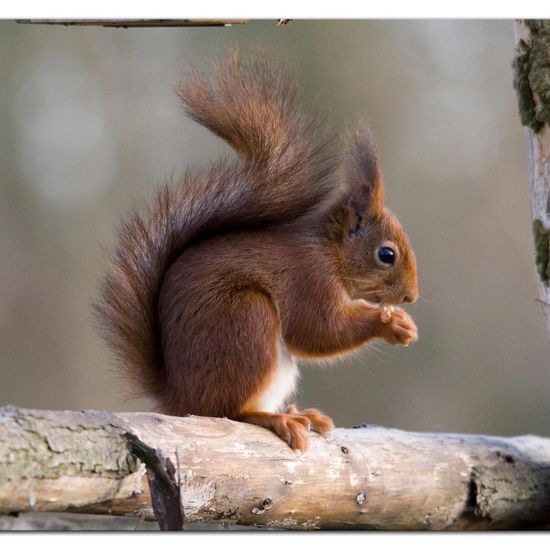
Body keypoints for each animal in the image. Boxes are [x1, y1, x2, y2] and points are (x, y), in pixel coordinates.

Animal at [96, 50, 422, 452]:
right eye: (386, 255)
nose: (411, 296)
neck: (328, 251)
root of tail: (180, 398)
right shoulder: (308, 278)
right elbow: (319, 331)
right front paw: (389, 322)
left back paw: (300, 413)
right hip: (246, 321)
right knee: (228, 411)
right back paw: (274, 418)